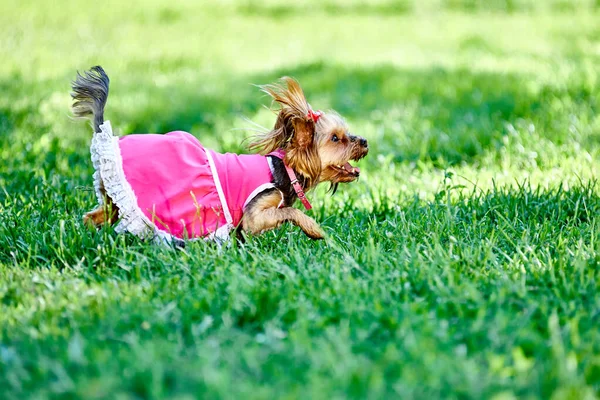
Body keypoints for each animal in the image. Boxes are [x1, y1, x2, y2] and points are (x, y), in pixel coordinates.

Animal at [72, 66, 368, 242]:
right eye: (336, 138)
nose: (364, 141)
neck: (286, 171)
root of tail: (105, 137)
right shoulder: (255, 214)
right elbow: (290, 213)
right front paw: (314, 230)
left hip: (114, 202)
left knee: (94, 217)